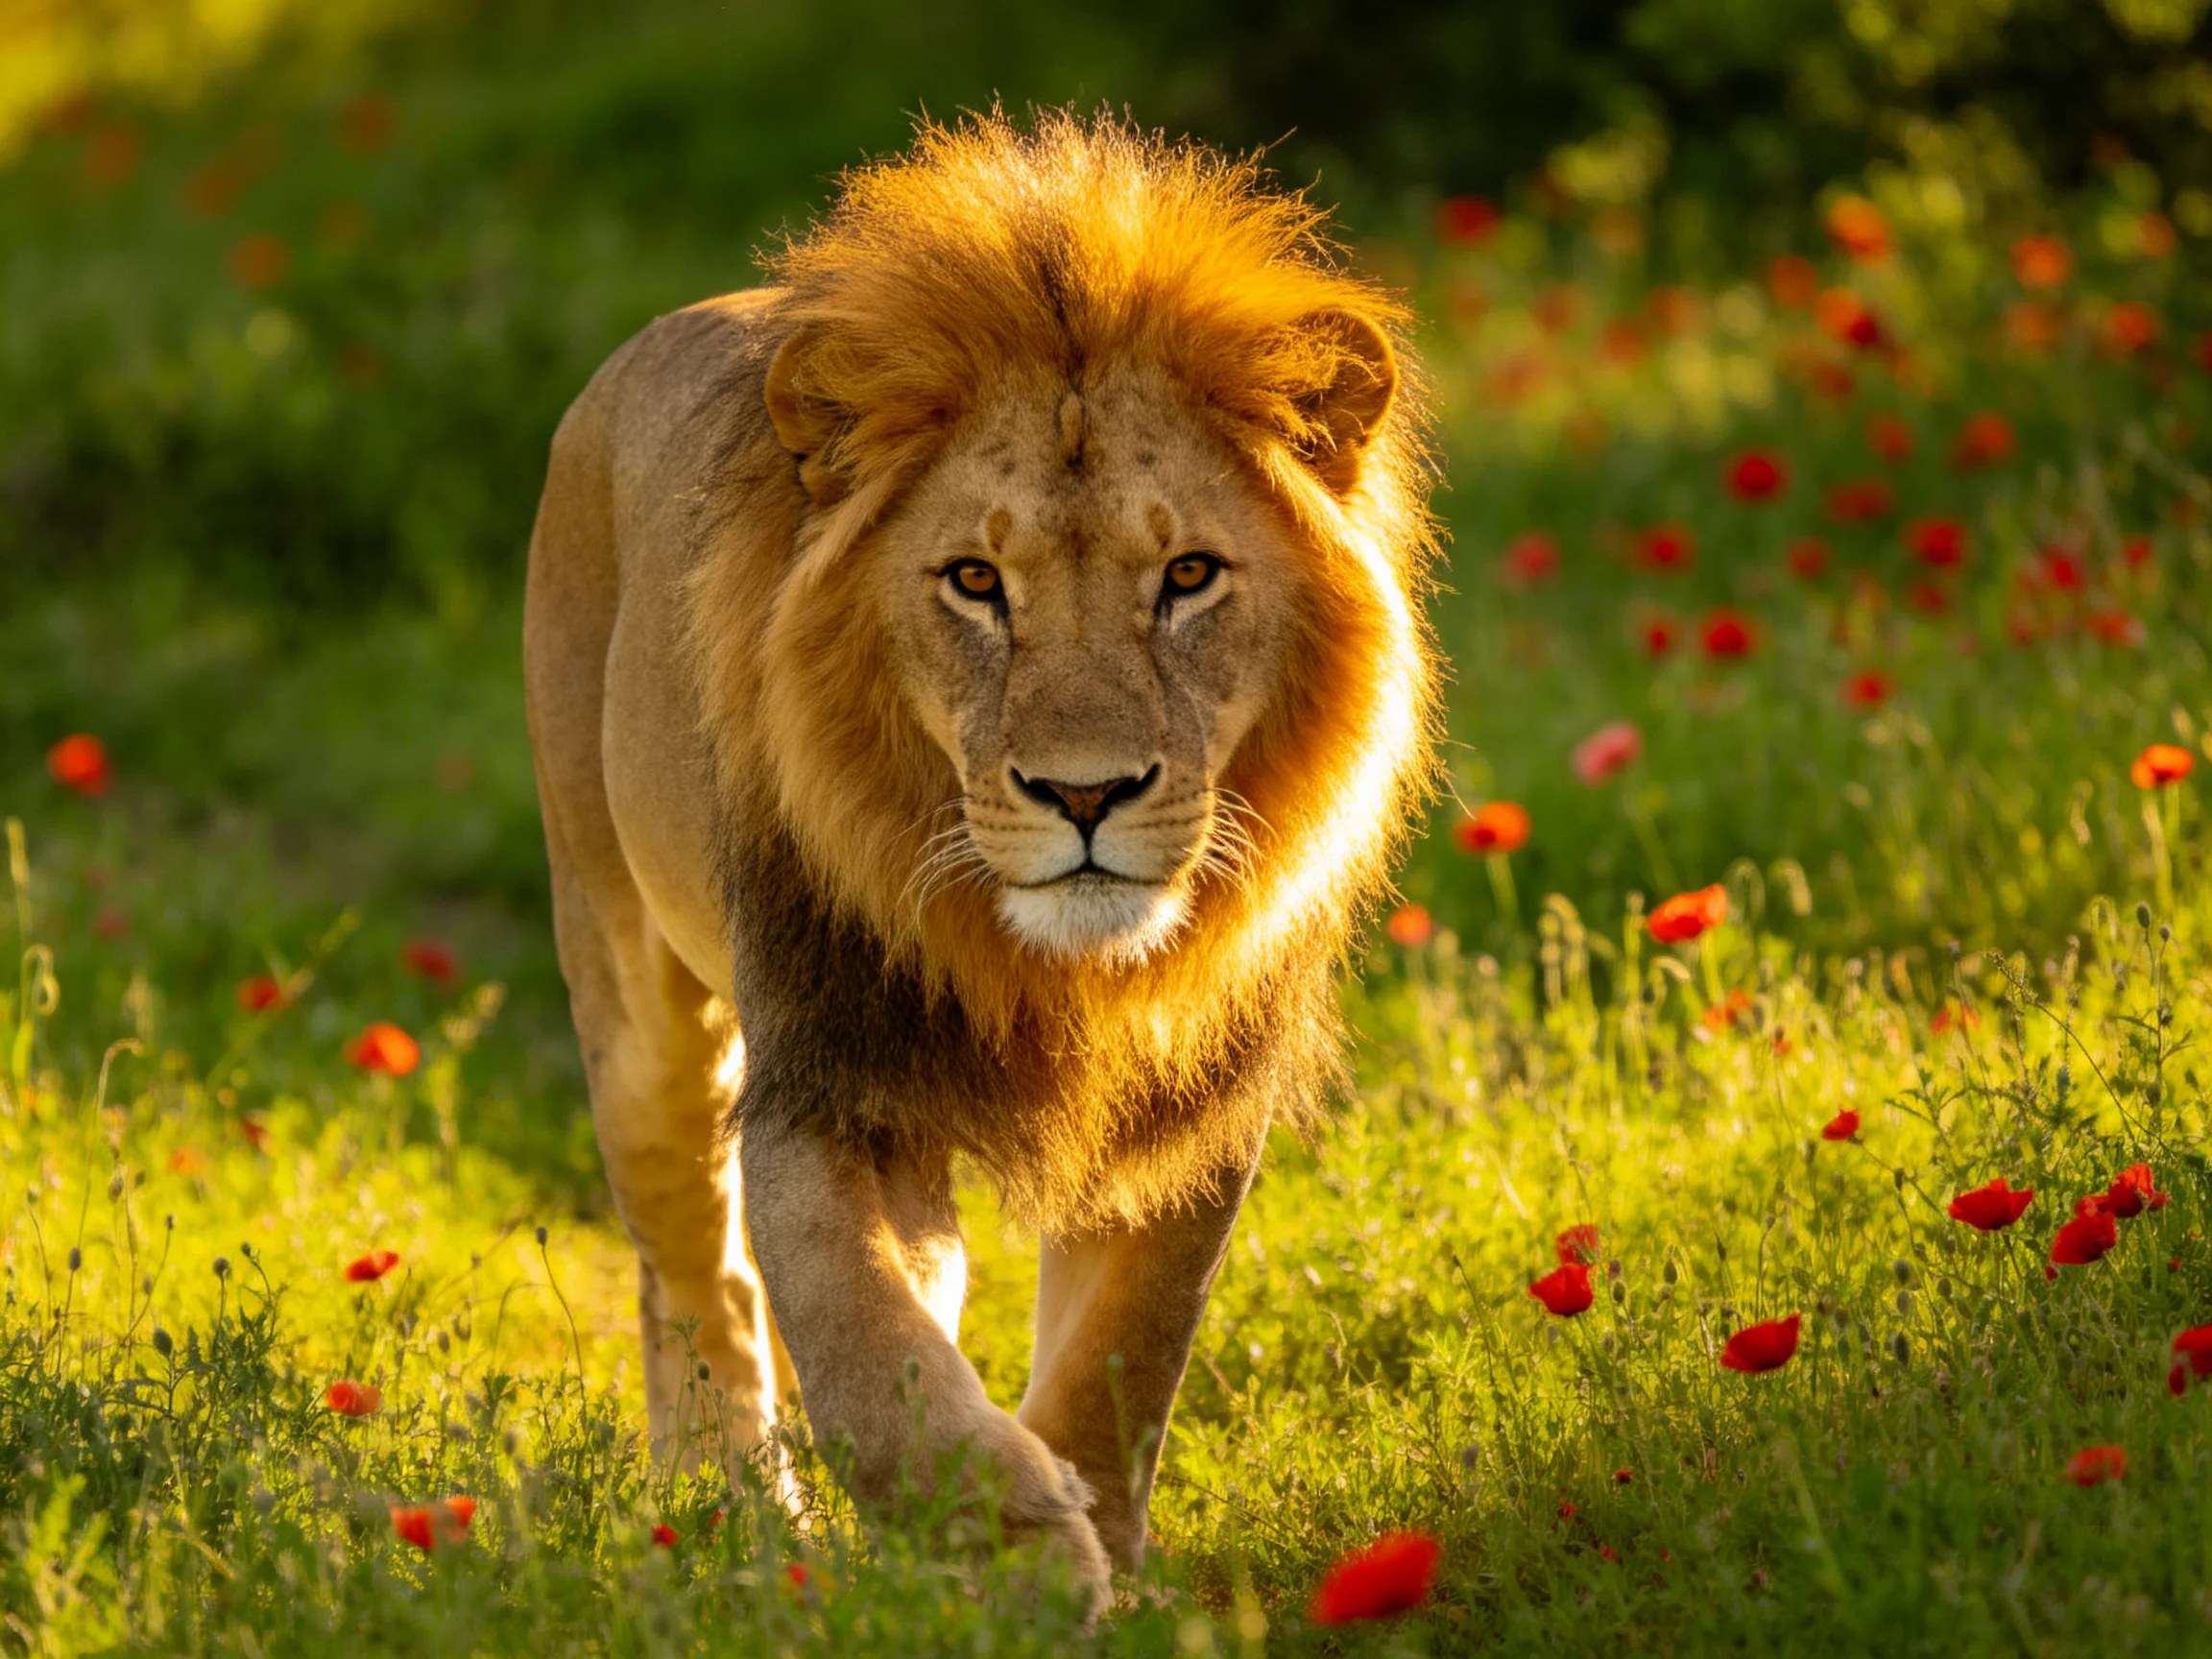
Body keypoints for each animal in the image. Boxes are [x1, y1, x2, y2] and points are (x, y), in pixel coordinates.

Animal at [522, 109, 1440, 1604]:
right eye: (973, 582)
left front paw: (1092, 1539)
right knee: (695, 1276)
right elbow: (856, 1328)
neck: (1057, 973)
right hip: (630, 987)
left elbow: (1128, 1353)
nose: (1086, 793)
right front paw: (1009, 1551)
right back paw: (723, 1508)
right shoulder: (828, 1071)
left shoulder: (1192, 1105)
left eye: (1188, 576)